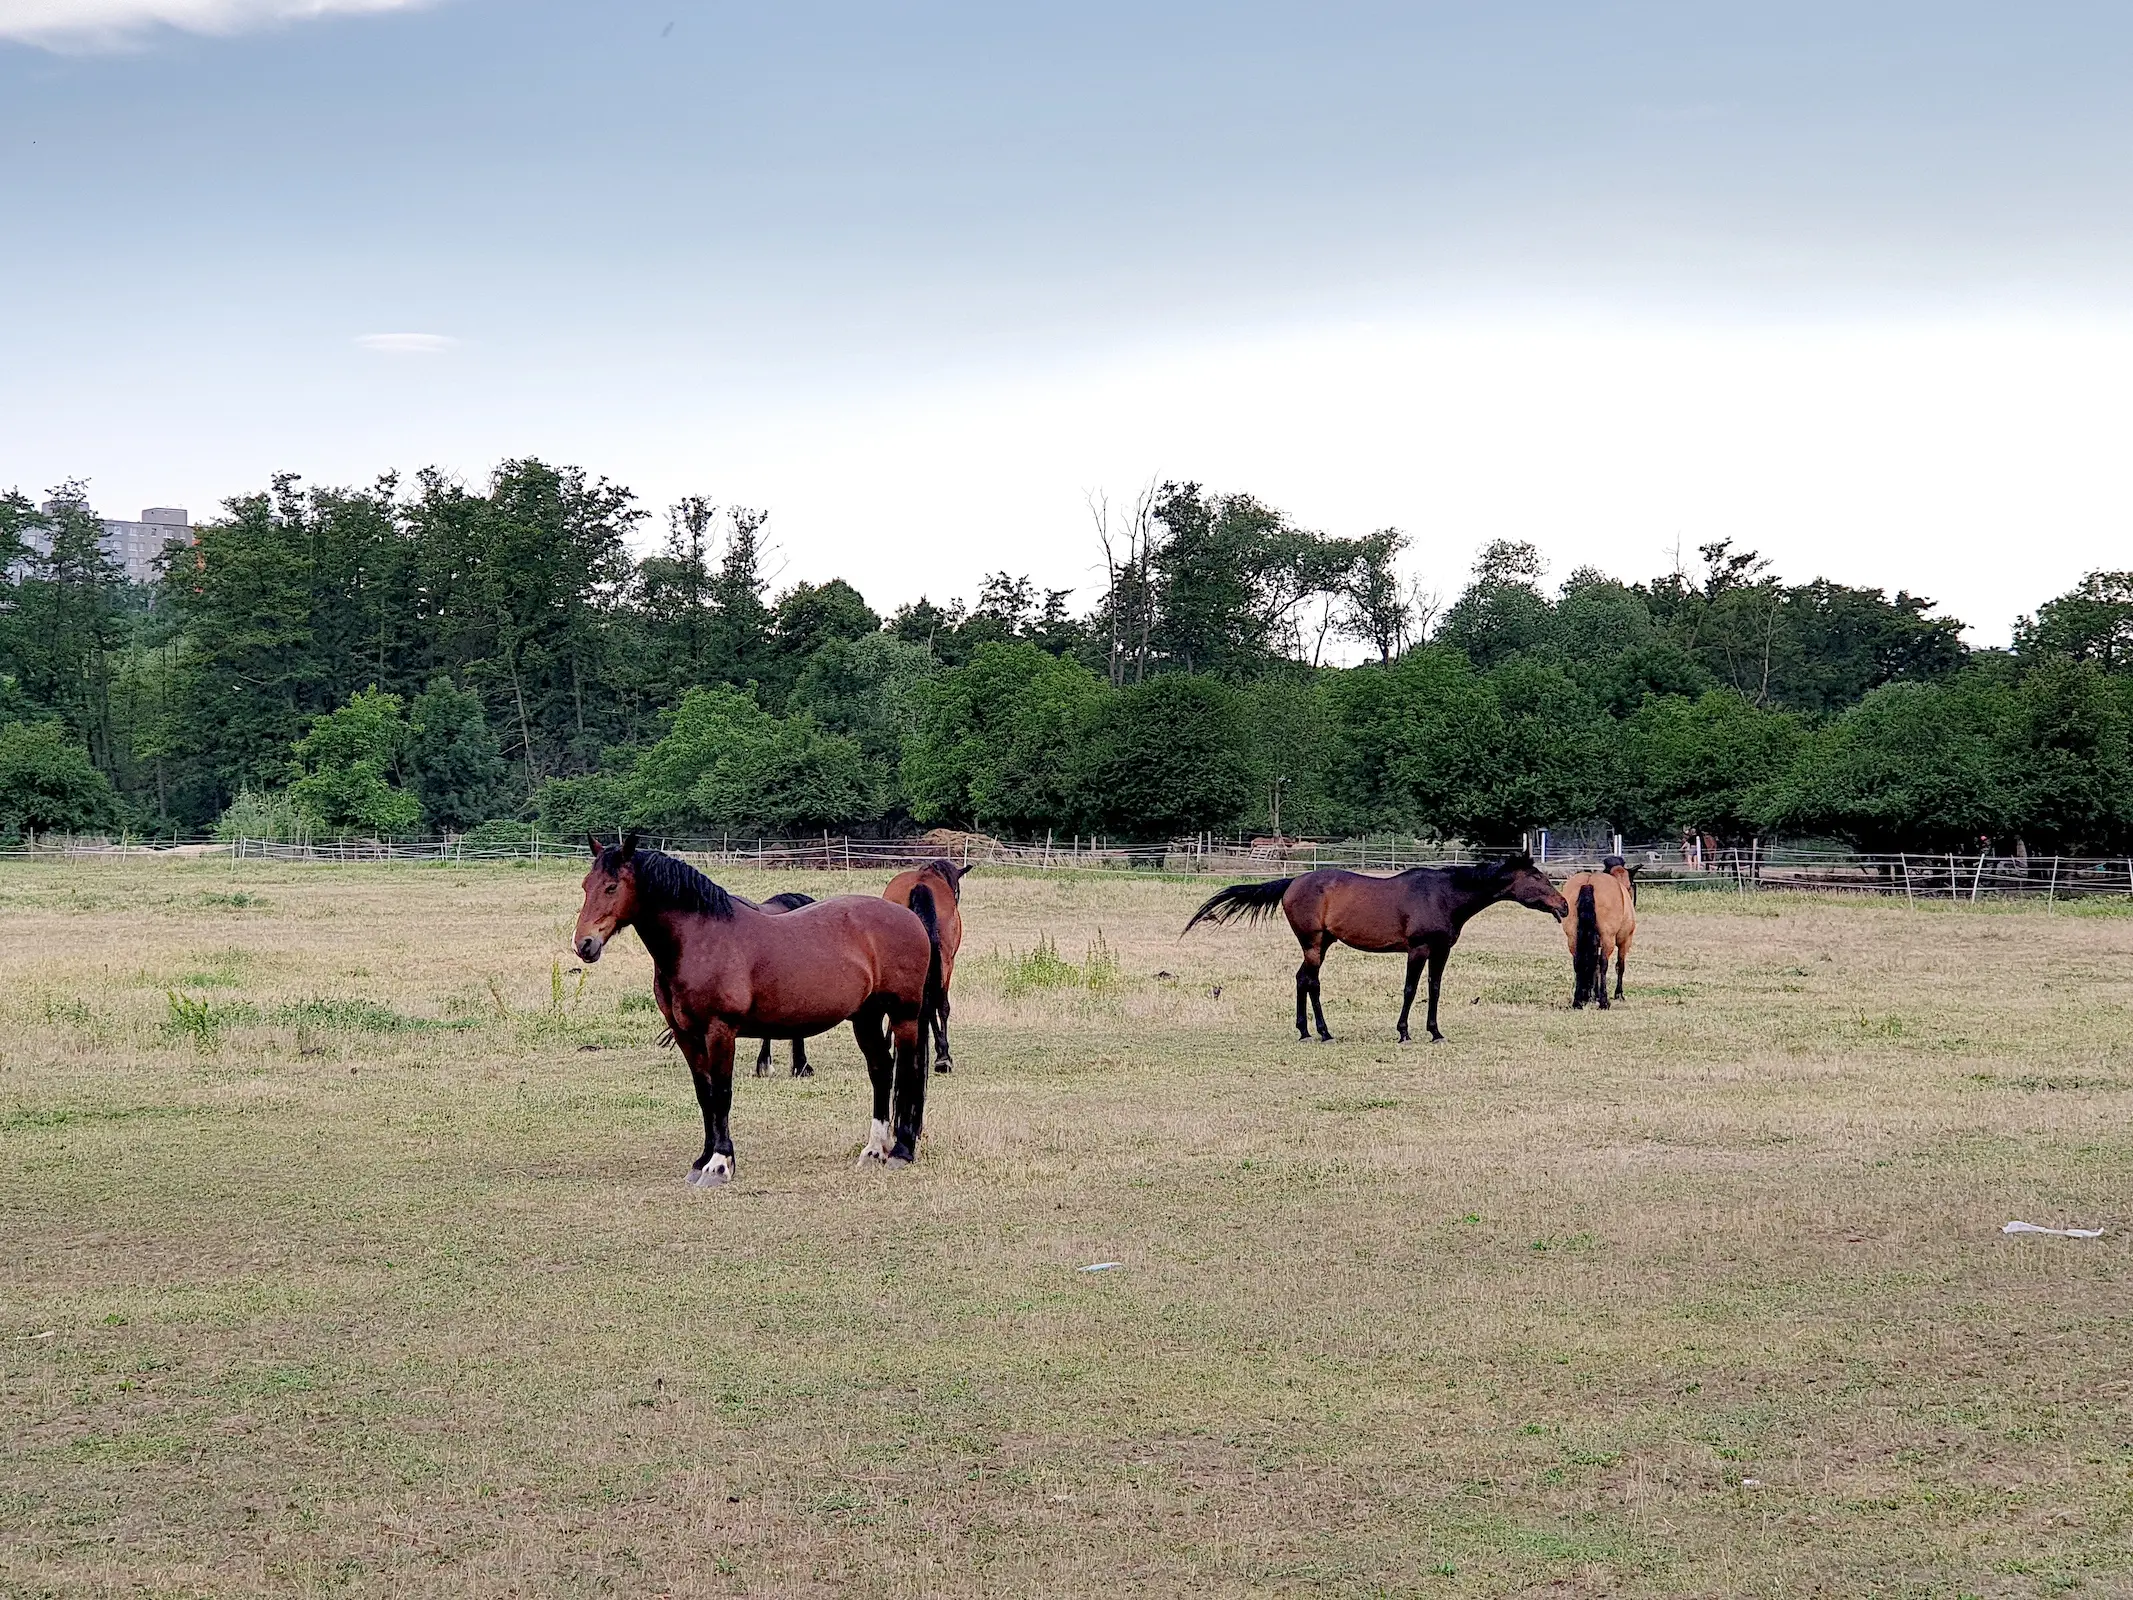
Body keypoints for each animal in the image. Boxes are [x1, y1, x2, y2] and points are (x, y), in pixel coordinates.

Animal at [575, 840, 942, 1194]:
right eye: (585, 885)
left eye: (611, 887)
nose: (584, 944)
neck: (701, 940)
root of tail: (909, 918)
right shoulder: (686, 1035)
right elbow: (705, 1095)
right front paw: (702, 1161)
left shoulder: (719, 1031)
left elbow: (721, 1094)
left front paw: (719, 1165)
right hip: (865, 1018)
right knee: (881, 1070)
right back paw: (874, 1150)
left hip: (904, 1016)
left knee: (908, 1071)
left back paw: (902, 1151)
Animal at [878, 866, 972, 1079]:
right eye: (957, 890)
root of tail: (920, 885)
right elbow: (943, 1007)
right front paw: (943, 1054)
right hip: (943, 963)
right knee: (936, 1003)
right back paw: (942, 1056)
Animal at [1185, 857, 1569, 1045]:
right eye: (1537, 878)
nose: (1564, 905)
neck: (1444, 895)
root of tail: (1292, 882)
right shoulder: (1418, 950)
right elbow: (1411, 989)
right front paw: (1403, 1032)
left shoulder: (1441, 951)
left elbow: (1434, 990)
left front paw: (1435, 1032)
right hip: (1314, 944)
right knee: (1311, 982)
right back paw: (1322, 1032)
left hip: (1321, 944)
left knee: (1300, 980)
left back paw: (1306, 1030)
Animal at [1561, 857, 1638, 1006]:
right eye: (1630, 884)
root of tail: (1589, 883)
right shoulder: (1625, 941)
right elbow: (1620, 965)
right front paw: (1618, 994)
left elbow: (1594, 964)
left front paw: (1593, 995)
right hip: (1608, 939)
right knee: (1603, 963)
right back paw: (1604, 1001)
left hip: (1573, 938)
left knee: (1578, 962)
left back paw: (1578, 1000)